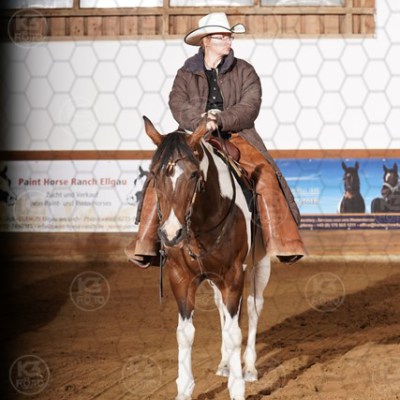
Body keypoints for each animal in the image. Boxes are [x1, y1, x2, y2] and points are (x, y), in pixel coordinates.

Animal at [143, 116, 271, 400]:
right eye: (153, 174)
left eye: (193, 174)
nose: (171, 233)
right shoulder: (180, 277)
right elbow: (185, 333)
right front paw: (184, 388)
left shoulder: (233, 275)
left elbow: (235, 331)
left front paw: (237, 388)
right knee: (221, 307)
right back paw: (225, 363)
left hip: (260, 263)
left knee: (254, 306)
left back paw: (249, 367)